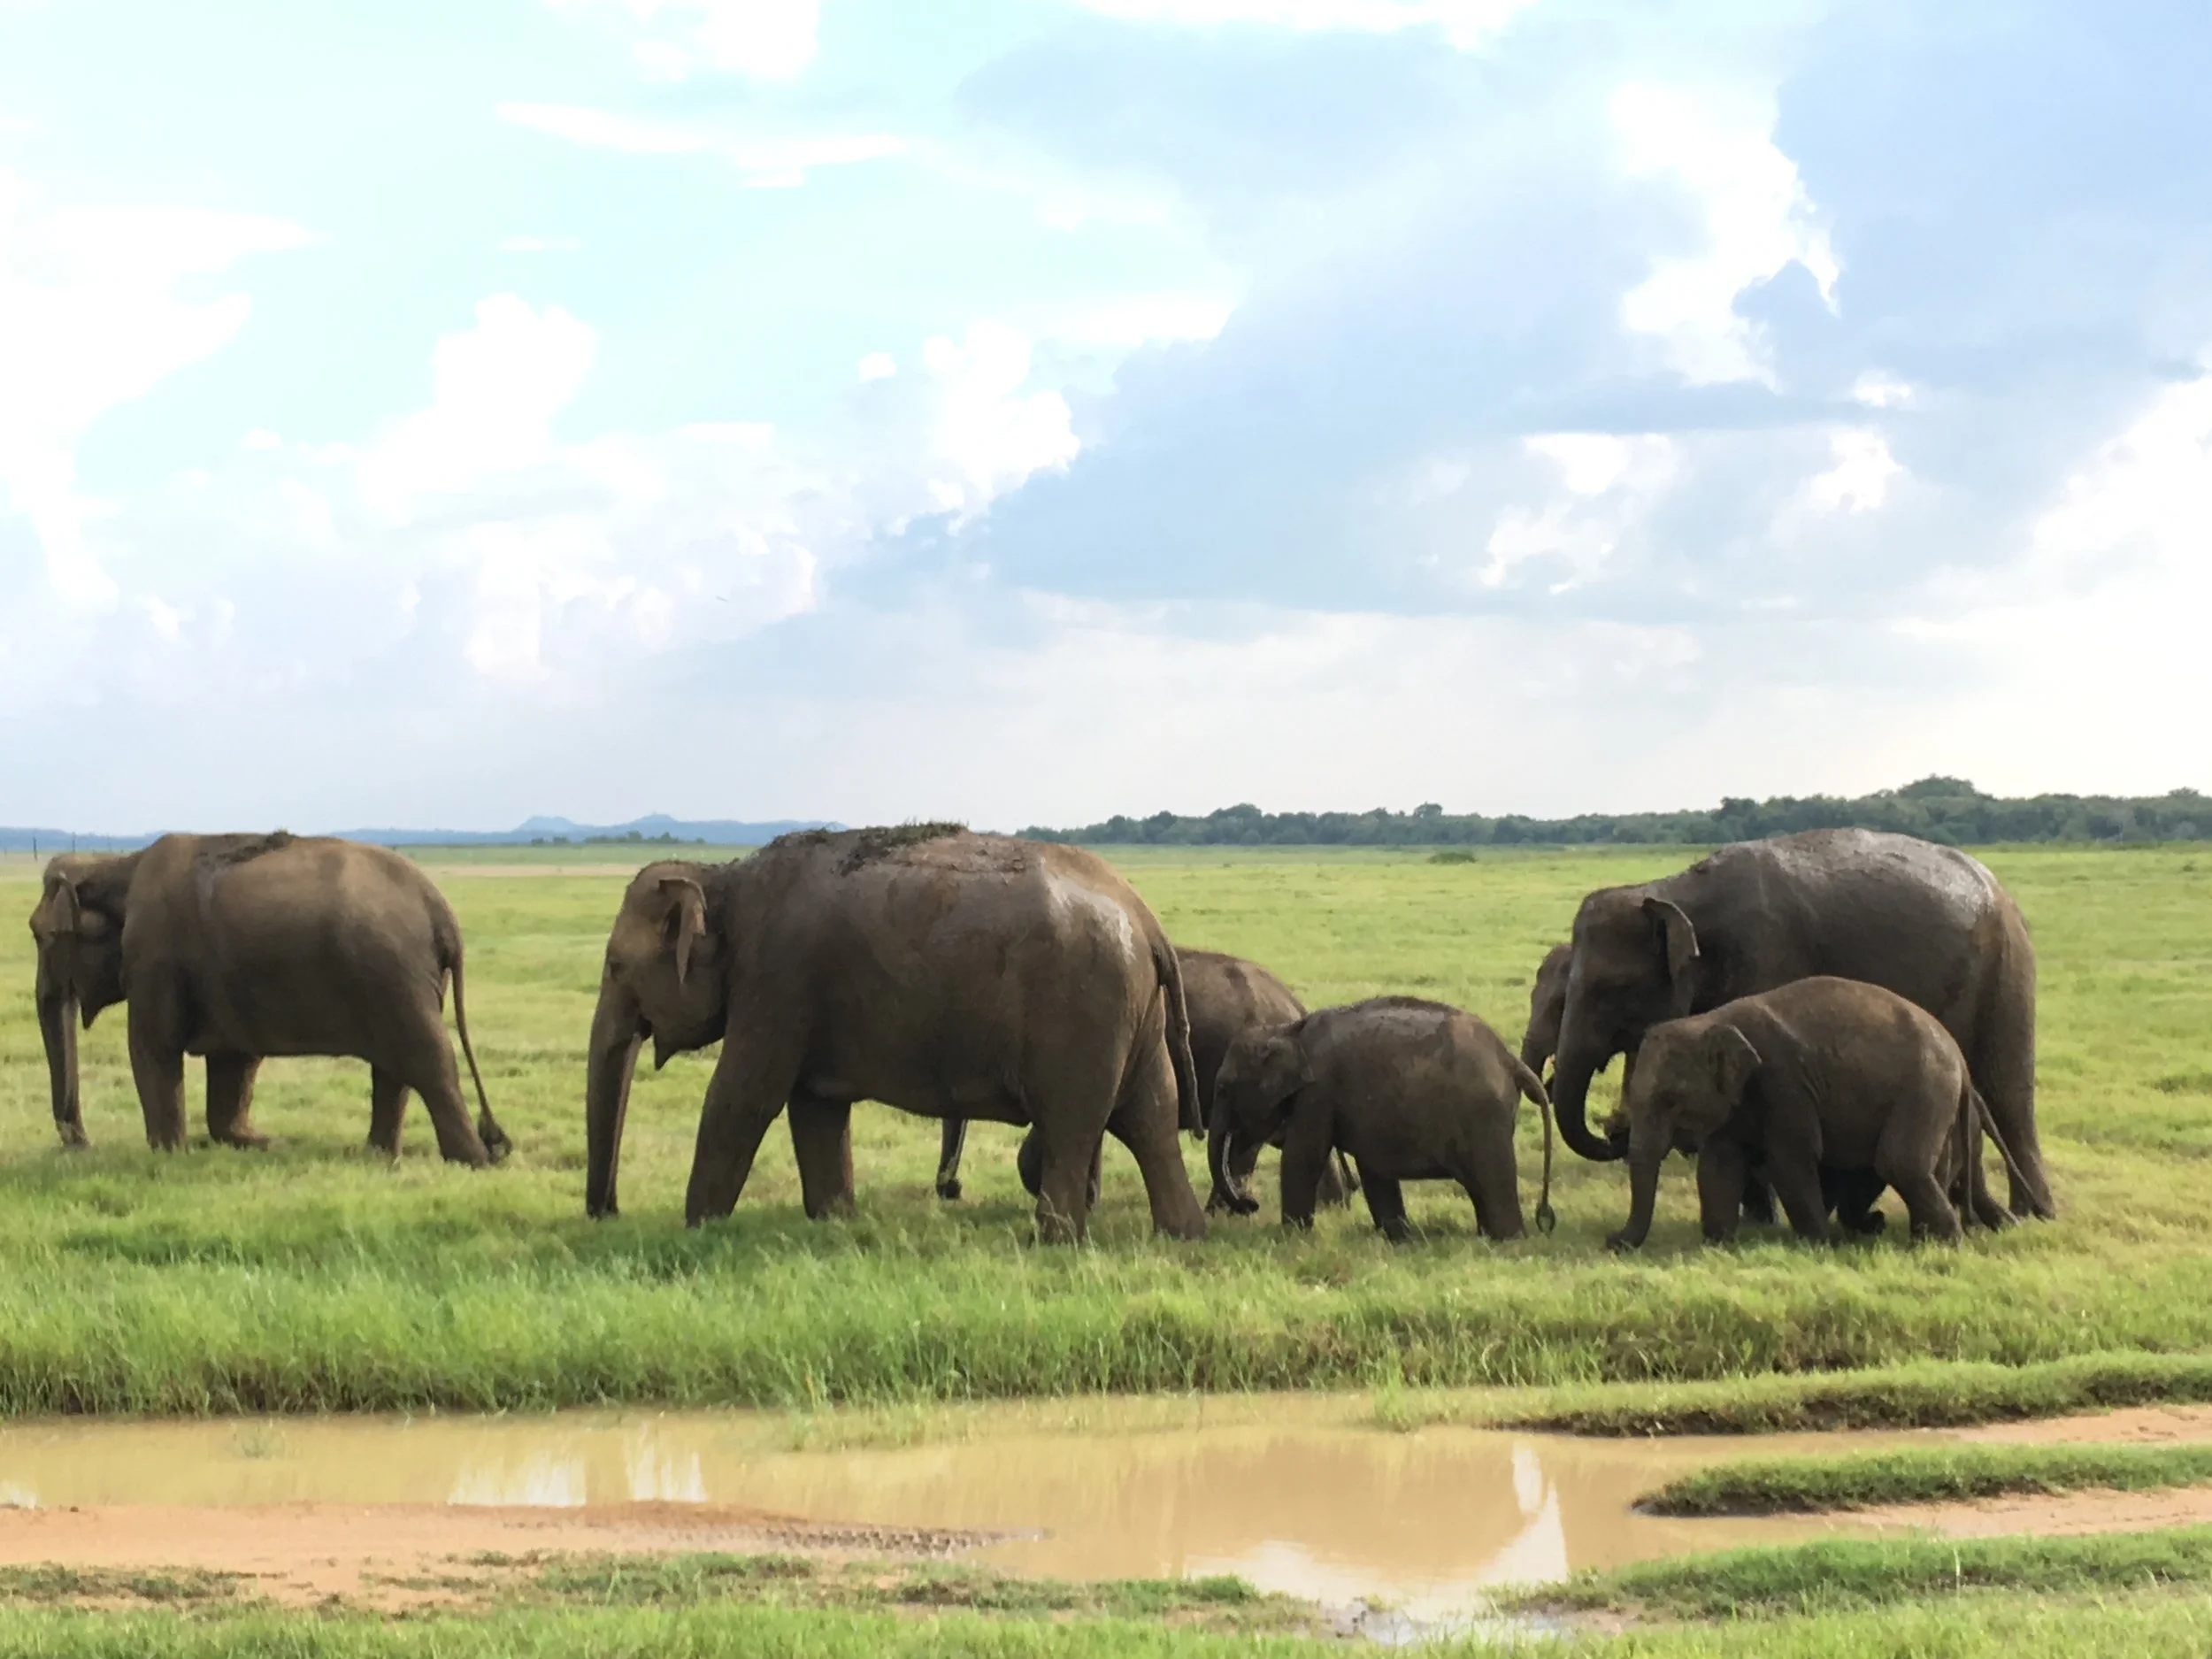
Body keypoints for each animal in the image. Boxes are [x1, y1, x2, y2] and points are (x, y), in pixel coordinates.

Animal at [28, 832, 510, 1163]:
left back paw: (472, 1161)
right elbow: (233, 1059)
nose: (81, 1144)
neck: (115, 866)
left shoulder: (154, 958)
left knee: (428, 1059)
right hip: (397, 980)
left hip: (396, 977)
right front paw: (263, 1143)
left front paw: (169, 1155)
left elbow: (152, 1048)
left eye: (41, 935)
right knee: (395, 1068)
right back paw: (377, 1155)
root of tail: (441, 912)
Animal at [583, 825, 1209, 1244]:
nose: (605, 1214)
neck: (721, 876)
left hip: (1084, 1014)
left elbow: (742, 1098)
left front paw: (696, 1230)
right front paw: (834, 1225)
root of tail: (1145, 916)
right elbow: (815, 1108)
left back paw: (1054, 1243)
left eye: (614, 966)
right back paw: (1183, 1235)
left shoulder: (776, 980)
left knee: (1074, 1125)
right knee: (1151, 1116)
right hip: (1135, 1014)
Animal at [1211, 996, 1554, 1242]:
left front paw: (1291, 1236)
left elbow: (1302, 1156)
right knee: (1479, 1183)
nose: (1250, 1204)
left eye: (1223, 1088)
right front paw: (1399, 1239)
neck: (1287, 1030)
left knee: (1491, 1178)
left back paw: (1509, 1241)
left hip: (1483, 1116)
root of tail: (1511, 1060)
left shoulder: (1318, 1093)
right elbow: (1373, 1167)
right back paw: (1487, 1237)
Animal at [1547, 828, 2051, 1220]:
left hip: (2006, 970)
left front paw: (1765, 1217)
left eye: (1611, 988)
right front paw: (1757, 1217)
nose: (1615, 1130)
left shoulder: (1766, 956)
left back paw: (2032, 1214)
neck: (1671, 889)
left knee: (2008, 1092)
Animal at [1606, 976, 2014, 1250]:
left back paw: (1944, 1243)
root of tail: (1958, 1056)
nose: (1611, 1241)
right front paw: (1718, 1243)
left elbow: (1791, 1161)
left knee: (1899, 1163)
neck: (1710, 1020)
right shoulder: (1735, 1102)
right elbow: (1719, 1165)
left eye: (1671, 1100)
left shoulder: (1784, 1084)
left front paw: (1820, 1244)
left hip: (1926, 1087)